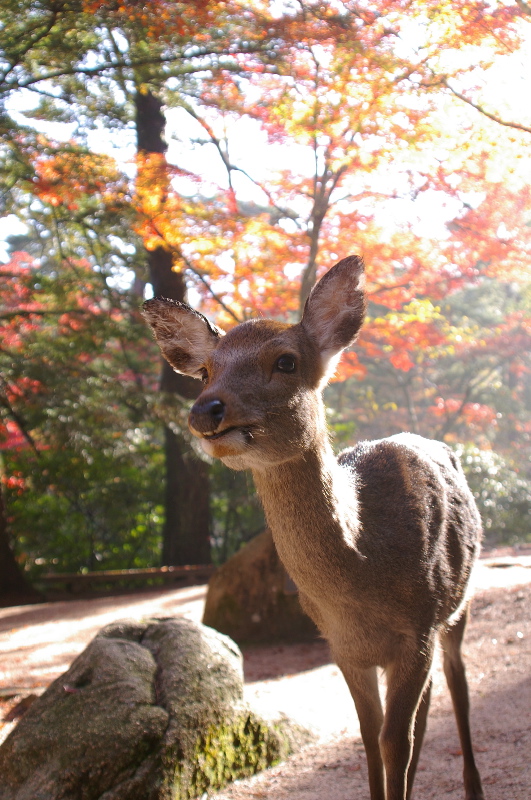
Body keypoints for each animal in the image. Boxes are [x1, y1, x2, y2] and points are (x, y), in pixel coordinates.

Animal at [142, 258, 486, 800]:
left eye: (286, 362)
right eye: (205, 371)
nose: (205, 409)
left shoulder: (418, 630)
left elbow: (395, 741)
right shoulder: (342, 647)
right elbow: (370, 736)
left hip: (460, 605)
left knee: (459, 687)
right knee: (428, 709)